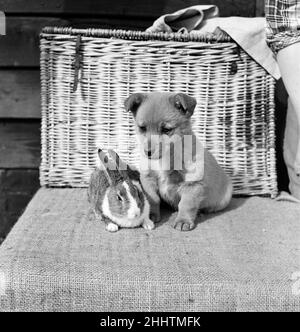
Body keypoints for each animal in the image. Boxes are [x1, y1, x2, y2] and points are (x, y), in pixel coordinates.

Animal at [124, 91, 232, 231]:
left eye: (166, 129)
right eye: (142, 128)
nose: (147, 152)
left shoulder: (192, 184)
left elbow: (186, 204)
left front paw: (183, 221)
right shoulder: (148, 179)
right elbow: (153, 199)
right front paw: (151, 215)